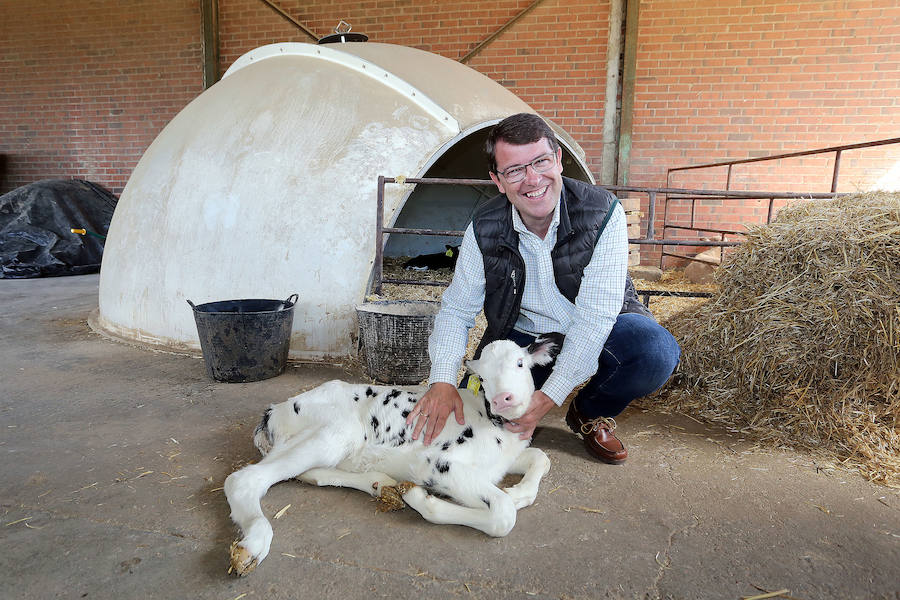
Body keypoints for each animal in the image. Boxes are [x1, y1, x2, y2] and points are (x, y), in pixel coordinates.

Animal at [225, 336, 564, 576]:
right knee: (243, 480)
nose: (504, 398)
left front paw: (518, 491)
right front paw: (421, 498)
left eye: (520, 363)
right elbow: (504, 514)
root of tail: (274, 410)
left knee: (310, 473)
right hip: (336, 431)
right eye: (483, 376)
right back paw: (251, 547)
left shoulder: (506, 458)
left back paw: (381, 485)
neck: (494, 425)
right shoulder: (435, 463)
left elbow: (541, 458)